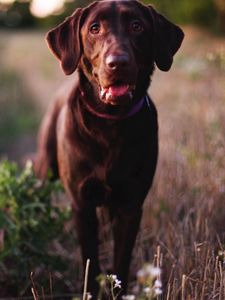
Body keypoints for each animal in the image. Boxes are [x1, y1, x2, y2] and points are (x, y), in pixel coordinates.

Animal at [34, 0, 183, 296]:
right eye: (94, 28)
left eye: (137, 26)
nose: (118, 63)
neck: (111, 125)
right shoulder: (82, 204)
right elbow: (90, 258)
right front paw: (91, 291)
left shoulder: (130, 205)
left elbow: (121, 260)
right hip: (46, 169)